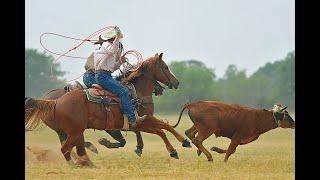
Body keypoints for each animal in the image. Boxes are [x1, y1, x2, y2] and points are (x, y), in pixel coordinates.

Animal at [26, 52, 190, 167]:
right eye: (165, 67)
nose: (176, 82)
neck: (137, 93)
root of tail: (55, 101)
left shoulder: (136, 124)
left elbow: (159, 130)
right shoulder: (143, 120)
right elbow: (163, 128)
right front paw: (179, 145)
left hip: (73, 131)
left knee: (73, 147)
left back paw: (87, 161)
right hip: (73, 131)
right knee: (66, 148)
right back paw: (81, 162)